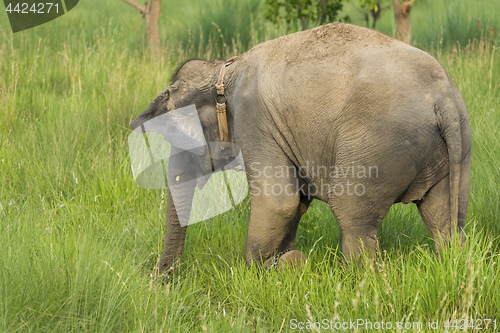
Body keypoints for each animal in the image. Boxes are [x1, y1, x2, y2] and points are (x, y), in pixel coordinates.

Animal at [131, 22, 470, 272]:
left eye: (178, 138)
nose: (163, 280)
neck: (224, 70)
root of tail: (441, 95)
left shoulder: (255, 122)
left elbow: (278, 202)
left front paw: (265, 269)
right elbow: (297, 202)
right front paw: (282, 259)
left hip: (376, 145)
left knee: (353, 219)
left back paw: (359, 283)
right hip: (456, 149)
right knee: (445, 221)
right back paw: (449, 266)